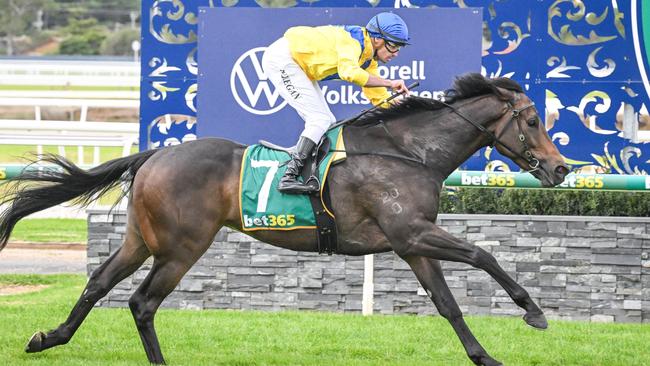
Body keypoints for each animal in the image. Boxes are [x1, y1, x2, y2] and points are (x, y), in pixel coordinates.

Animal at [0, 73, 568, 364]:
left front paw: (485, 357)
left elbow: (447, 303)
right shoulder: (412, 232)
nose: (561, 168)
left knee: (99, 282)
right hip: (183, 246)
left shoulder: (409, 243)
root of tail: (156, 154)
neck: (408, 152)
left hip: (142, 238)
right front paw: (534, 312)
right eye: (532, 120)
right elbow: (483, 253)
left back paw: (48, 338)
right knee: (142, 302)